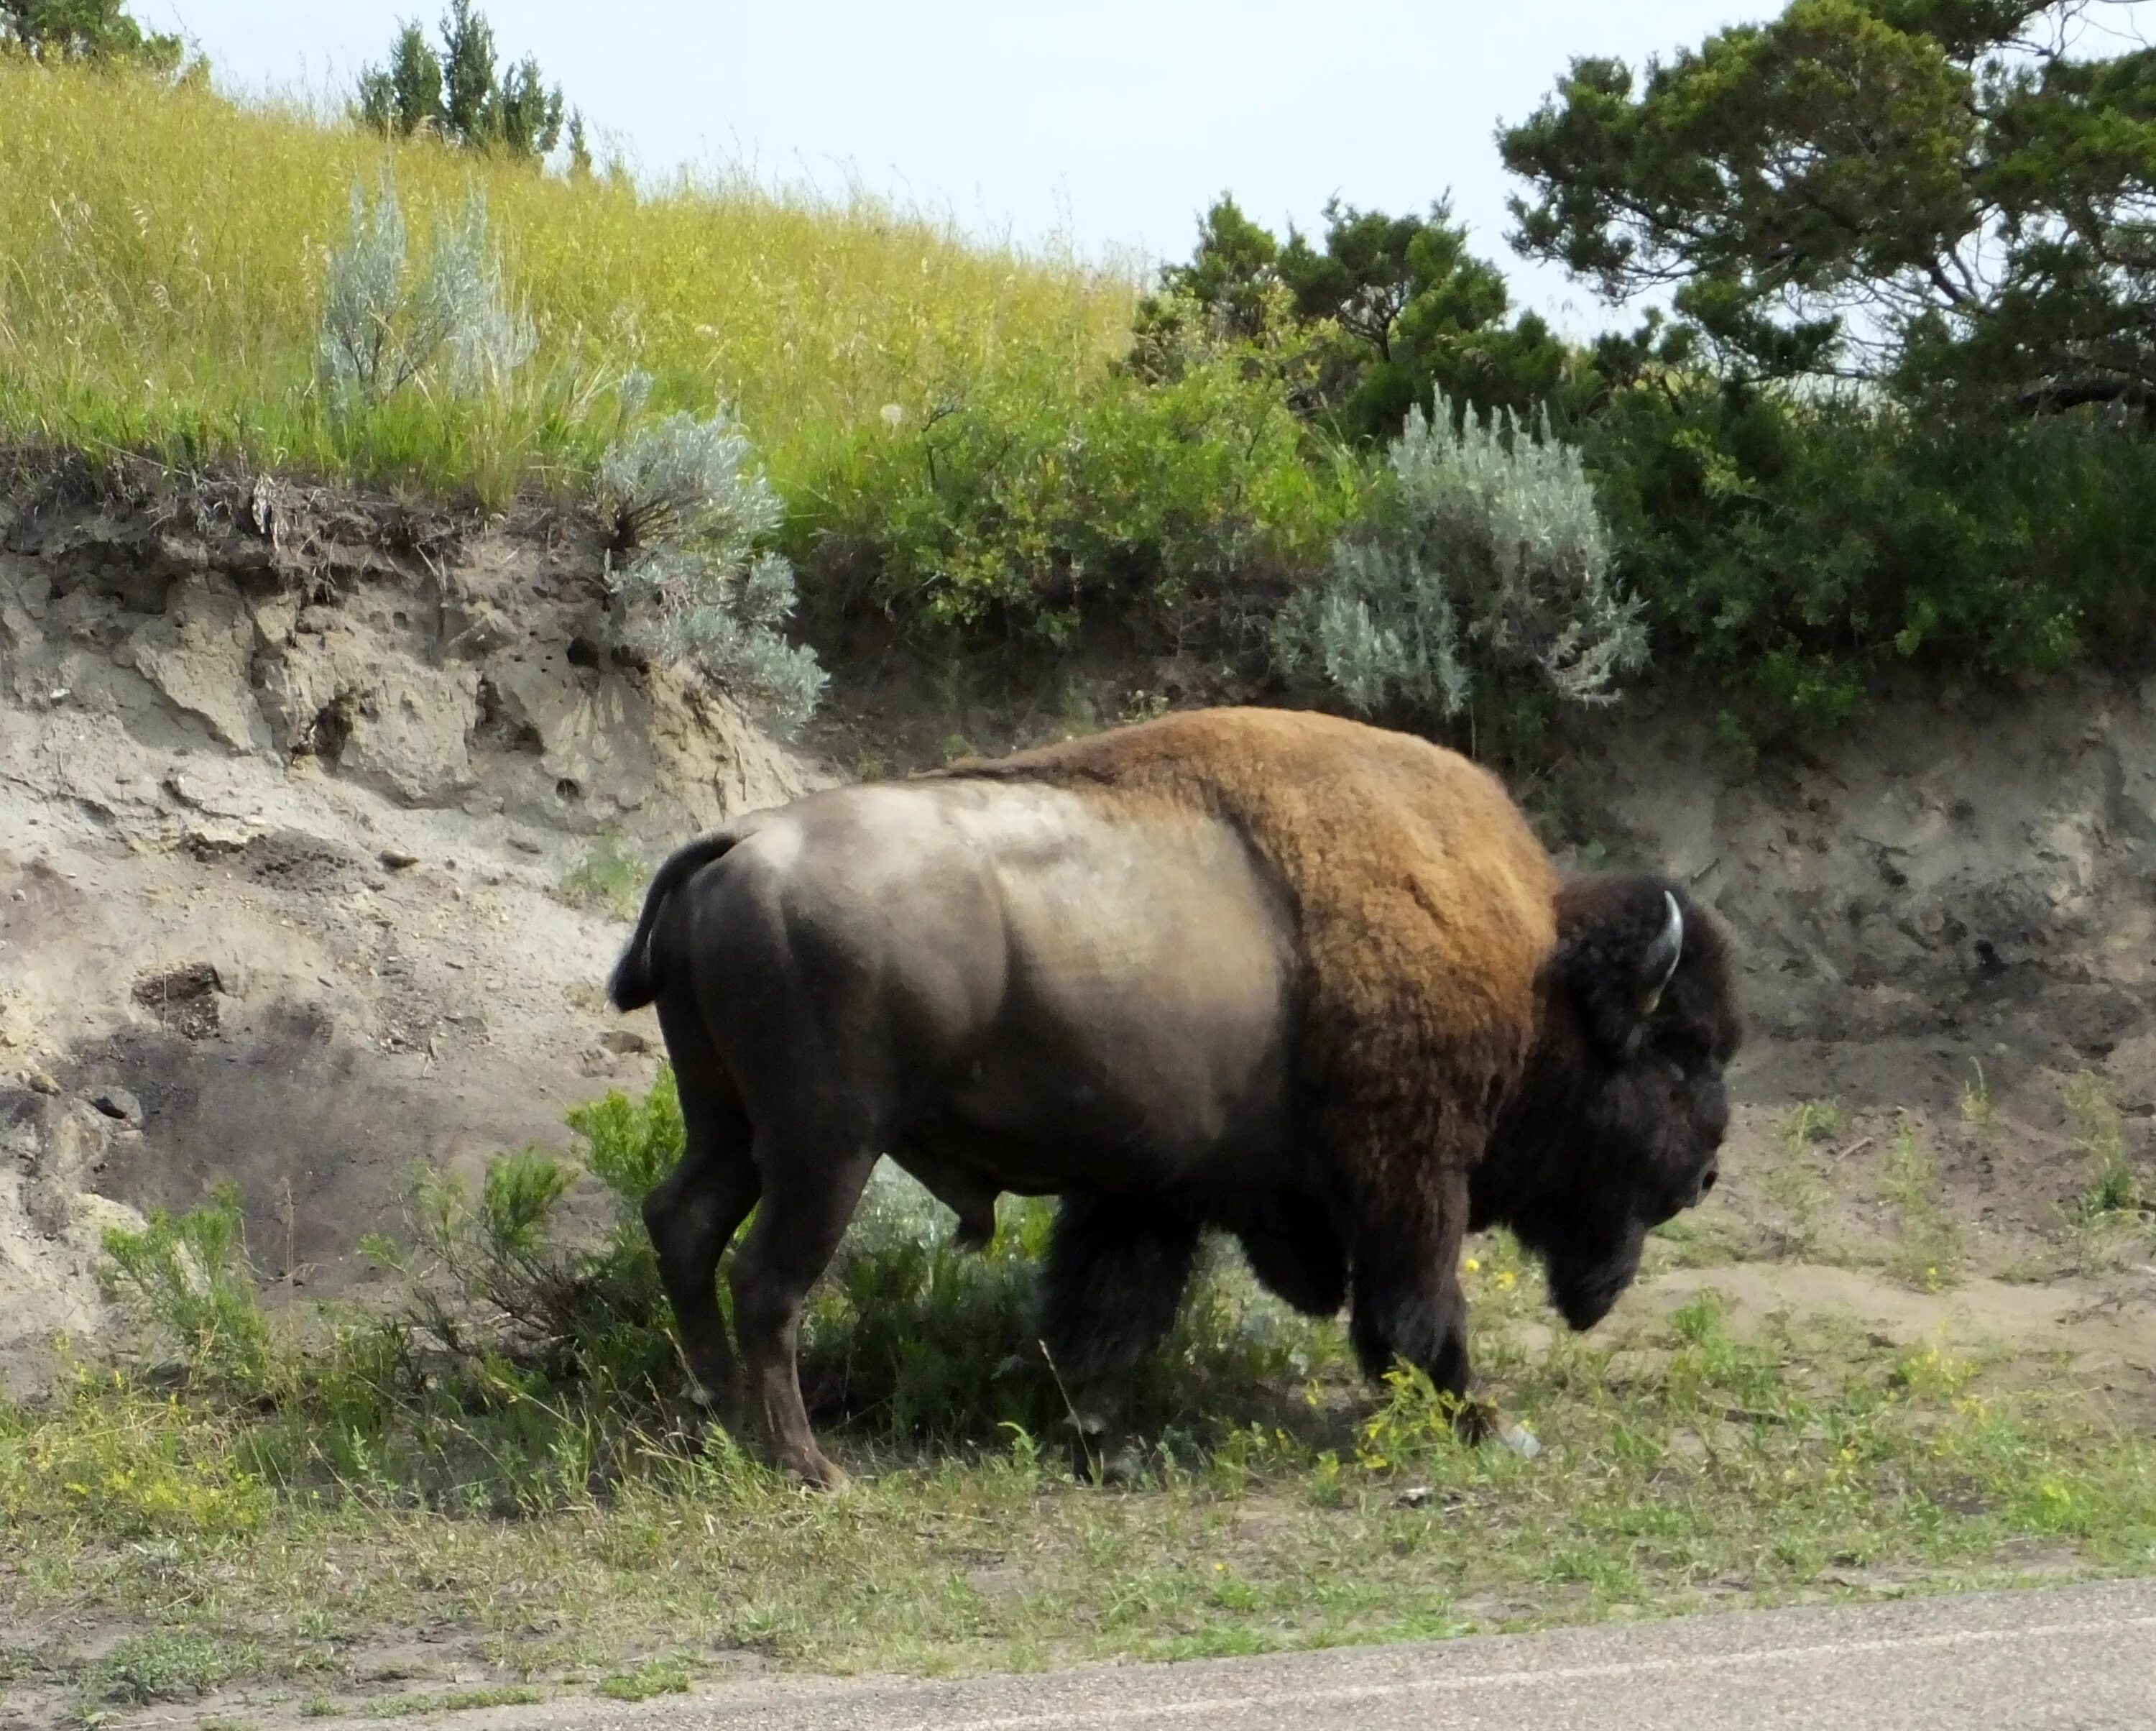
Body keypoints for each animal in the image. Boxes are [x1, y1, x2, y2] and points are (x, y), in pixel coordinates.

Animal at [604, 702, 1733, 1492]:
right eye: (1679, 1054)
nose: (1708, 1173)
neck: (1538, 970)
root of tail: (741, 844)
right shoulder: (1412, 1173)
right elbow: (1418, 1308)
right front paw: (1486, 1421)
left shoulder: (1147, 1192)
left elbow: (1111, 1308)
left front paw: (1102, 1437)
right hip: (827, 1144)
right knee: (767, 1278)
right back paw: (809, 1466)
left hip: (731, 1122)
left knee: (686, 1225)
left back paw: (719, 1417)